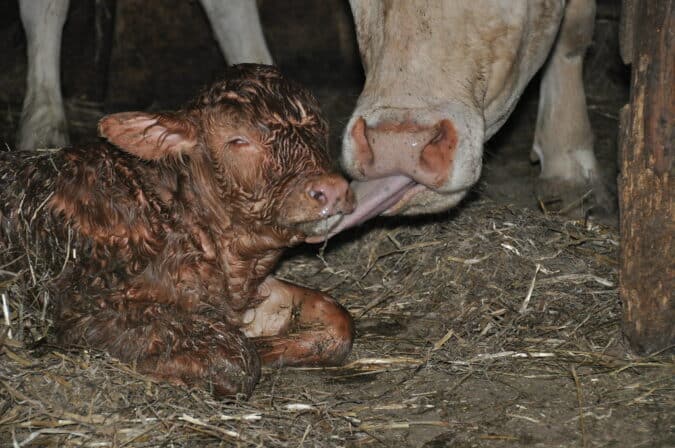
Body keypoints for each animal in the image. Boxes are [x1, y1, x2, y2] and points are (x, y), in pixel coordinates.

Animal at [0, 64, 356, 400]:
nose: (332, 189)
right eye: (238, 140)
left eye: (321, 128)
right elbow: (236, 360)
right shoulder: (84, 310)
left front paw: (272, 347)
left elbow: (338, 316)